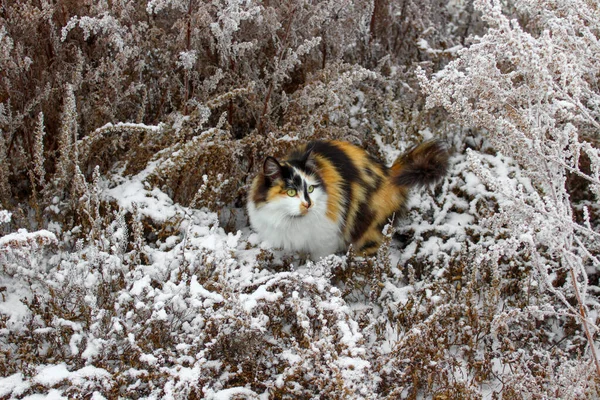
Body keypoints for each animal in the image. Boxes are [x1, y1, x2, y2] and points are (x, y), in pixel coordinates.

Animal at [246, 141, 448, 260]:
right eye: (290, 192)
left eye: (310, 188)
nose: (308, 204)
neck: (292, 221)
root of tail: (391, 174)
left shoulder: (325, 240)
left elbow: (318, 261)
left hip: (368, 231)